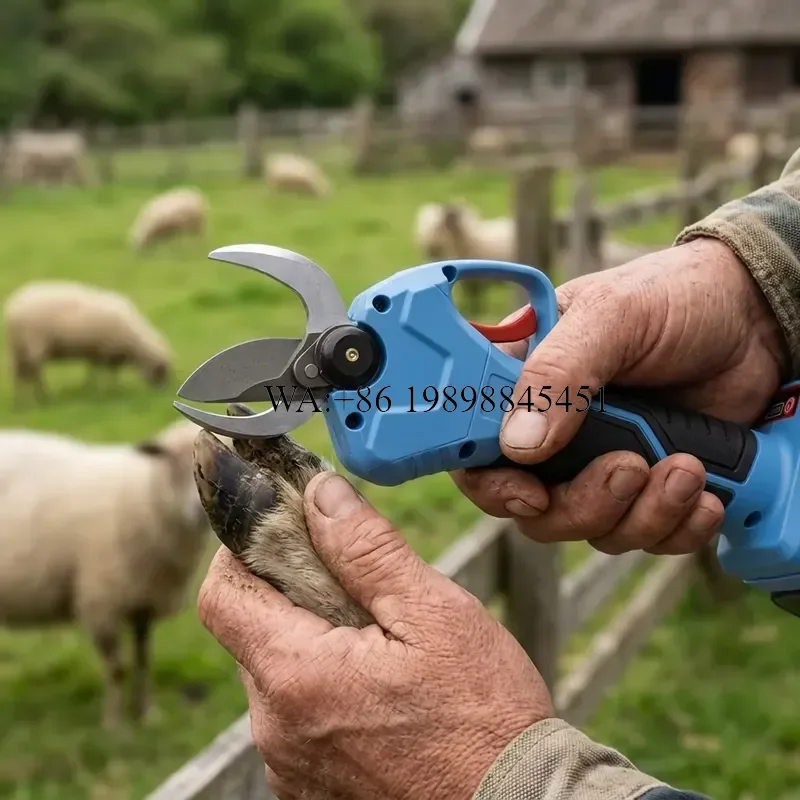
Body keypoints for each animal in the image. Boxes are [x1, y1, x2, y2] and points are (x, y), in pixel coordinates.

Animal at [0, 419, 212, 729]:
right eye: (168, 459)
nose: (199, 511)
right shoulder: (100, 603)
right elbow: (116, 669)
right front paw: (115, 725)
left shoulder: (142, 603)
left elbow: (143, 660)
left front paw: (147, 713)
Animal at [3, 280, 173, 407]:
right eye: (161, 369)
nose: (161, 392)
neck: (134, 341)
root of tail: (12, 306)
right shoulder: (107, 350)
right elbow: (107, 373)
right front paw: (107, 390)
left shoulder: (98, 351)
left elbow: (95, 371)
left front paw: (92, 387)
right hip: (34, 345)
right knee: (35, 374)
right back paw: (46, 397)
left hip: (19, 348)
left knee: (17, 374)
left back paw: (20, 402)